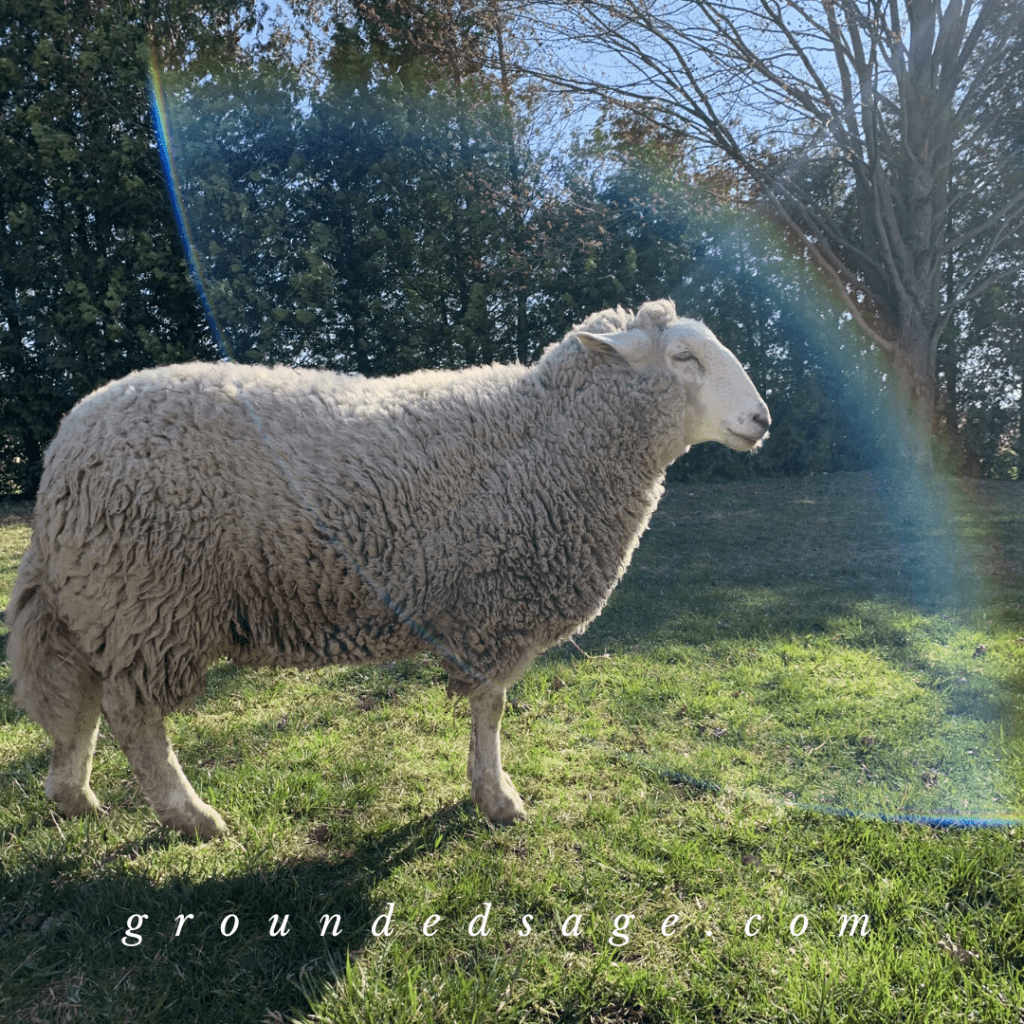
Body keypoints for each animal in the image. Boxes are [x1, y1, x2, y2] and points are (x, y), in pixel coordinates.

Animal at [2, 299, 770, 835]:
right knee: (133, 716)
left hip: (104, 595)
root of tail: (63, 451)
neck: (546, 436)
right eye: (684, 357)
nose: (763, 419)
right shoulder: (495, 603)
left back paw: (73, 796)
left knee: (82, 700)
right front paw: (498, 799)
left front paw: (490, 793)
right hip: (149, 595)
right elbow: (491, 709)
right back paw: (190, 817)